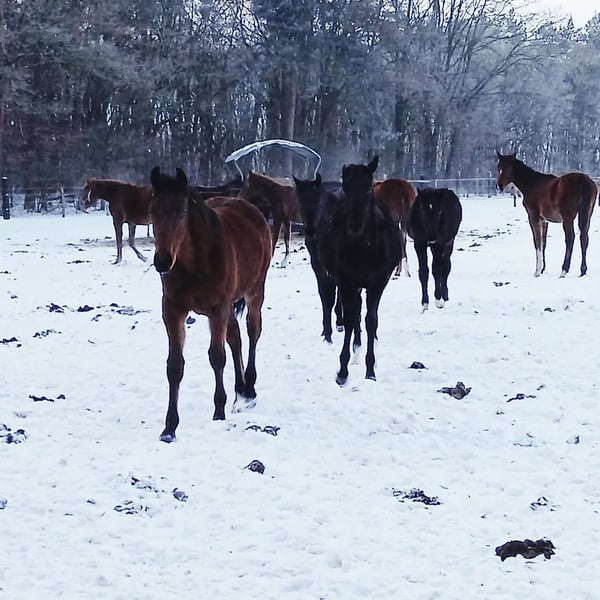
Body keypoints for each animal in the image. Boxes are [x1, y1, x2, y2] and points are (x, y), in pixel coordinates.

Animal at [149, 167, 272, 442]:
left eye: (182, 212)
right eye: (152, 212)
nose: (162, 261)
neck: (195, 263)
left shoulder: (217, 309)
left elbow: (217, 357)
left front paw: (218, 412)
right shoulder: (173, 310)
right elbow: (175, 365)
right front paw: (169, 428)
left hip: (254, 291)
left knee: (253, 332)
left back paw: (249, 388)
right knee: (236, 338)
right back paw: (240, 391)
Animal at [293, 173, 360, 346]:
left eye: (318, 201)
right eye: (300, 201)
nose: (310, 230)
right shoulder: (317, 264)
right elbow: (326, 295)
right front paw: (326, 332)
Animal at [316, 156, 402, 385]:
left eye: (368, 188)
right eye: (346, 187)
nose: (354, 225)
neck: (364, 246)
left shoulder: (378, 282)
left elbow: (371, 320)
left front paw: (370, 370)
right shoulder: (346, 281)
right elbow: (349, 319)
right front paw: (342, 370)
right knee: (353, 313)